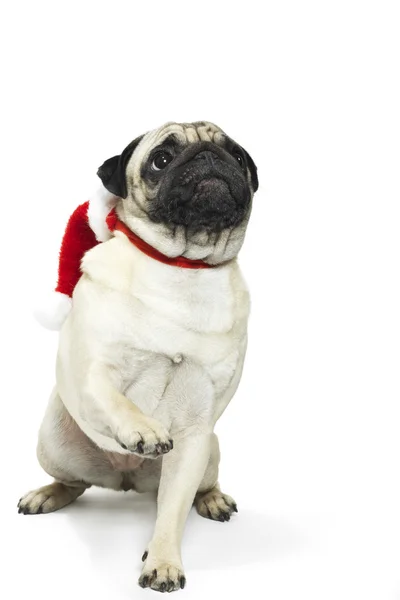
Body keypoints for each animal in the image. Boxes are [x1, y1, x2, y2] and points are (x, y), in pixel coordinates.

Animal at [18, 120, 260, 592]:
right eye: (161, 159)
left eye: (237, 156)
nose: (208, 155)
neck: (183, 267)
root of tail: (124, 477)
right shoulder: (93, 373)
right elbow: (117, 400)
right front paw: (143, 430)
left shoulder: (195, 431)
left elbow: (172, 512)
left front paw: (162, 561)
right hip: (52, 443)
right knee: (72, 482)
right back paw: (46, 494)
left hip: (211, 452)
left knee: (192, 490)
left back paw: (212, 499)